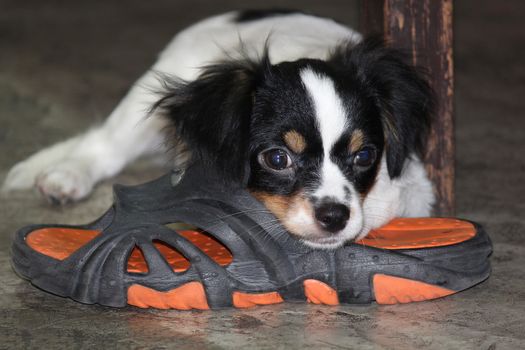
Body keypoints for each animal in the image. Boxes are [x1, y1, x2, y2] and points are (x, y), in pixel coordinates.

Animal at [3, 10, 434, 249]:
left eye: (364, 156)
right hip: (142, 104)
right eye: (278, 158)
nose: (334, 217)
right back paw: (66, 176)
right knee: (103, 145)